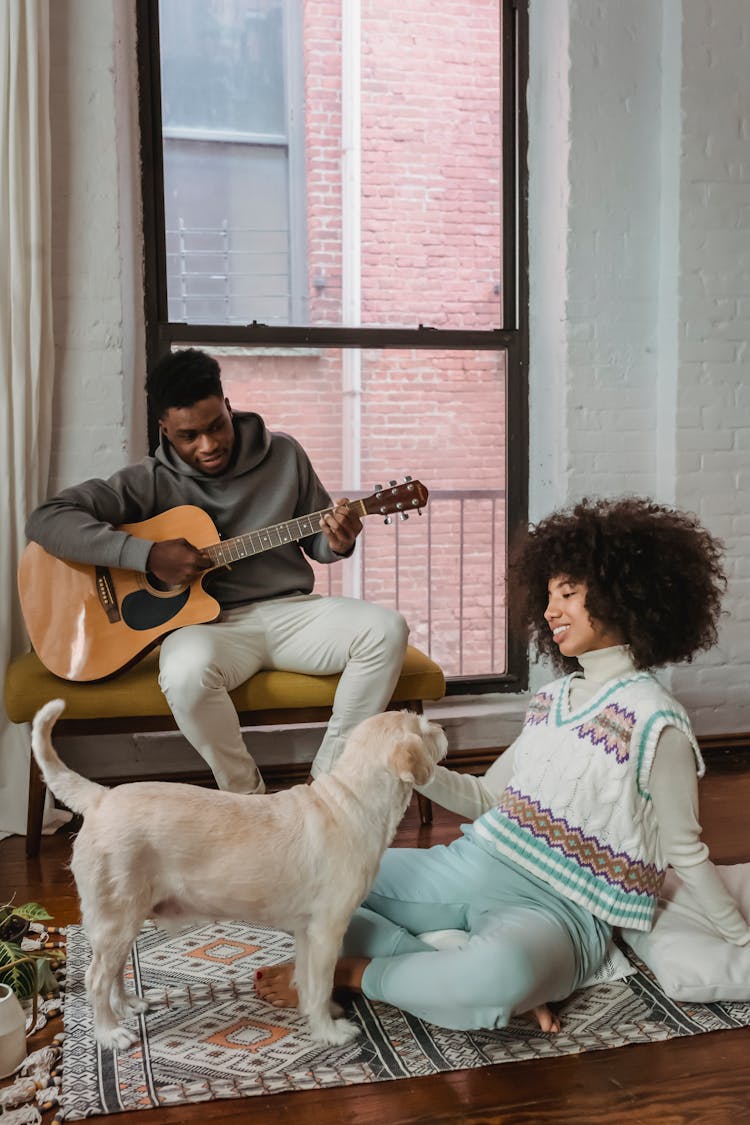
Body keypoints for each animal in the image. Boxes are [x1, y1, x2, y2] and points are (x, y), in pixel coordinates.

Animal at [30, 702, 445, 1053]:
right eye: (425, 729)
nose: (441, 728)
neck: (351, 801)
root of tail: (100, 798)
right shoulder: (328, 928)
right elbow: (321, 982)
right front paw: (329, 1032)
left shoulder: (308, 931)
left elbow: (307, 979)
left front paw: (317, 1016)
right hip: (117, 914)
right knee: (96, 978)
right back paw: (109, 1032)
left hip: (122, 919)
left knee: (113, 971)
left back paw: (126, 1005)